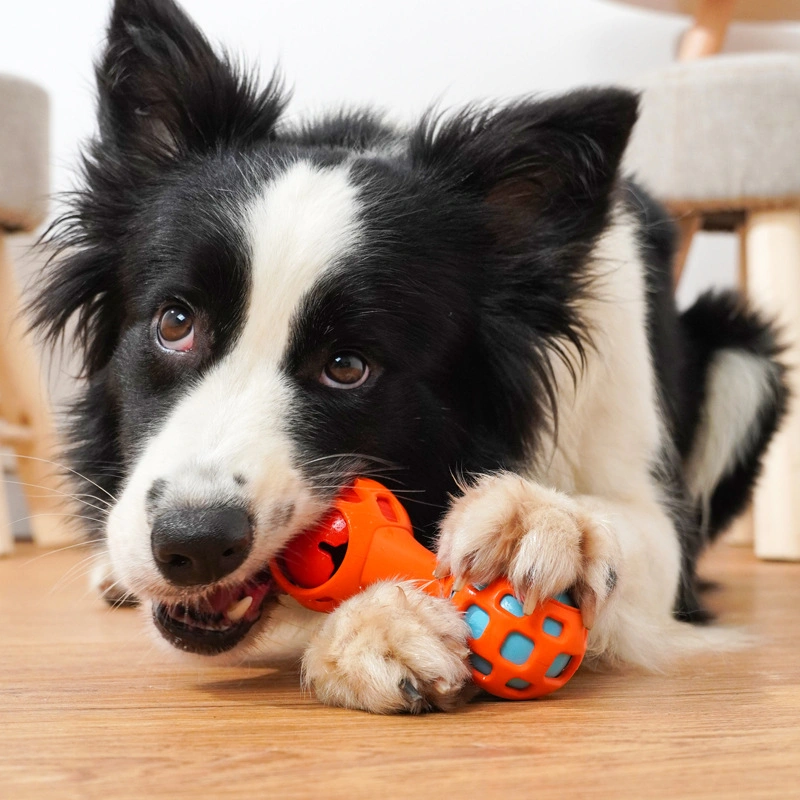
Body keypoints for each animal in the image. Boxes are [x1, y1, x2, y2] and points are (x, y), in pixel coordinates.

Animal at [36, 0, 788, 712]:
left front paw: (543, 530)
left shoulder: (646, 493)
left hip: (747, 358)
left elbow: (629, 532)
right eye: (175, 322)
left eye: (347, 366)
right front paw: (380, 627)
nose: (193, 545)